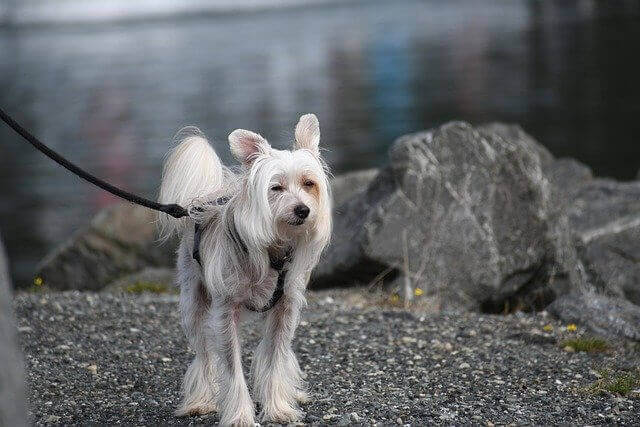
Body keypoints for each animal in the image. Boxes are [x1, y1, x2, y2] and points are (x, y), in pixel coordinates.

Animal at [158, 115, 332, 426]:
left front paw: (278, 407)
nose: (303, 210)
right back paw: (201, 400)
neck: (274, 250)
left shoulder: (285, 310)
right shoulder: (225, 313)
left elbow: (275, 359)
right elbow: (231, 369)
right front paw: (240, 415)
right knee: (204, 355)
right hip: (193, 302)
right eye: (276, 188)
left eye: (309, 183)